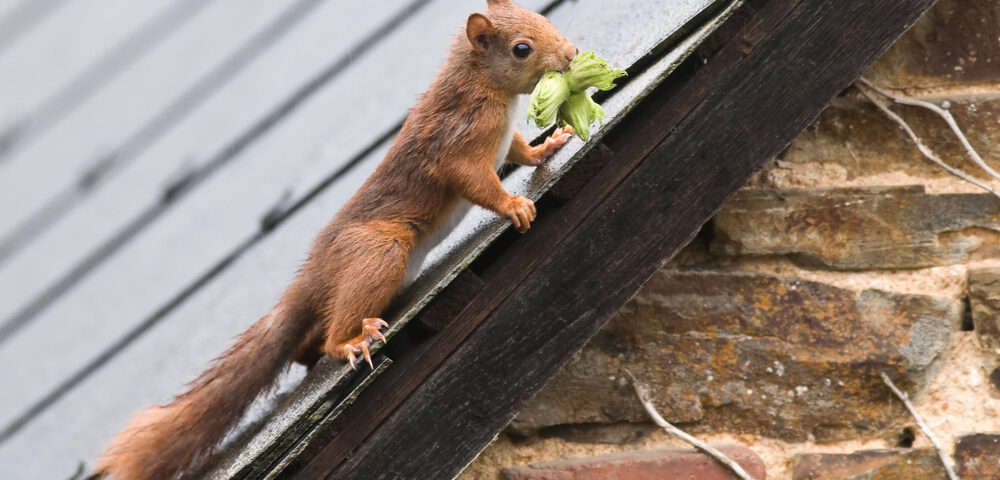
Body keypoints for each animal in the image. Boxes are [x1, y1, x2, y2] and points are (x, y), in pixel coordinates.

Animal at [94, 1, 580, 478]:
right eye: (521, 49)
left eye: (541, 17)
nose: (572, 53)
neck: (481, 85)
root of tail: (311, 277)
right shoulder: (458, 141)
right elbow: (475, 183)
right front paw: (514, 205)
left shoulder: (499, 140)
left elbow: (519, 150)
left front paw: (549, 145)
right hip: (379, 251)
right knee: (332, 337)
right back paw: (351, 341)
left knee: (309, 342)